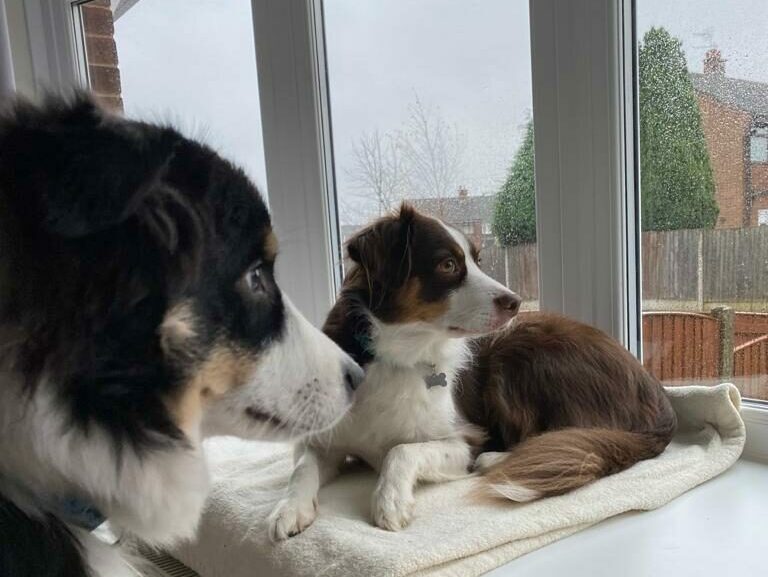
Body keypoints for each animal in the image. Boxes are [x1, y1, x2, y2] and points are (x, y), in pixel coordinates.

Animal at [268, 205, 676, 536]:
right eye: (448, 264)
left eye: (477, 260)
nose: (515, 302)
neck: (399, 355)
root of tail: (657, 396)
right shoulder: (327, 439)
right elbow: (302, 466)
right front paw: (288, 509)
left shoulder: (465, 438)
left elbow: (401, 450)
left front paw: (390, 500)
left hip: (518, 357)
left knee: (564, 438)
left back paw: (497, 459)